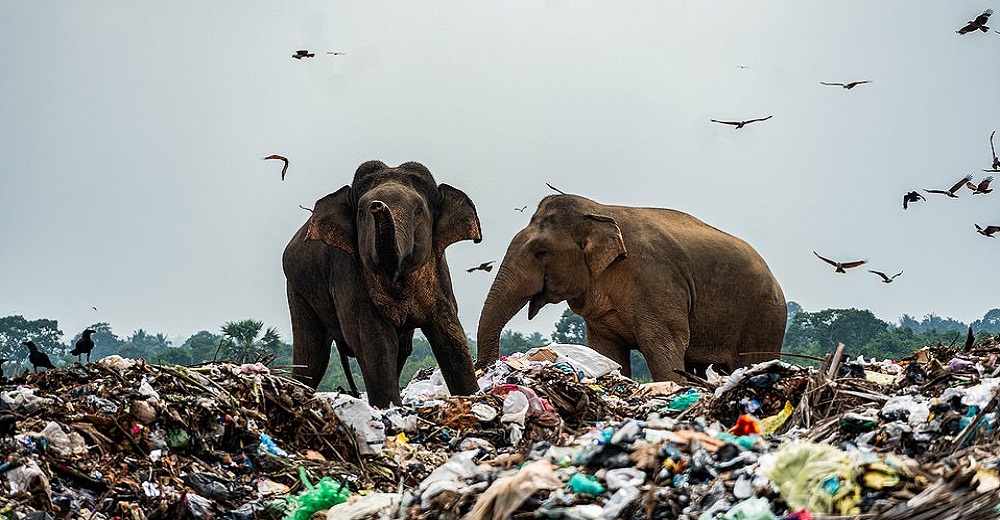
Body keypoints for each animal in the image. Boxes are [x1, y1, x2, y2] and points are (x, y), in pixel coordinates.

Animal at [284, 160, 482, 408]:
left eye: (419, 210)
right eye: (361, 212)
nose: (377, 206)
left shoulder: (439, 272)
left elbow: (449, 332)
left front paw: (472, 396)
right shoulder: (348, 271)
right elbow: (374, 338)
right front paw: (388, 408)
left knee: (402, 350)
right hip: (297, 289)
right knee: (312, 357)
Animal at [478, 193, 788, 380]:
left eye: (541, 252)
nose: (490, 370)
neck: (599, 211)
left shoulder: (656, 282)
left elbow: (662, 346)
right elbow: (606, 353)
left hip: (765, 317)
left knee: (749, 361)